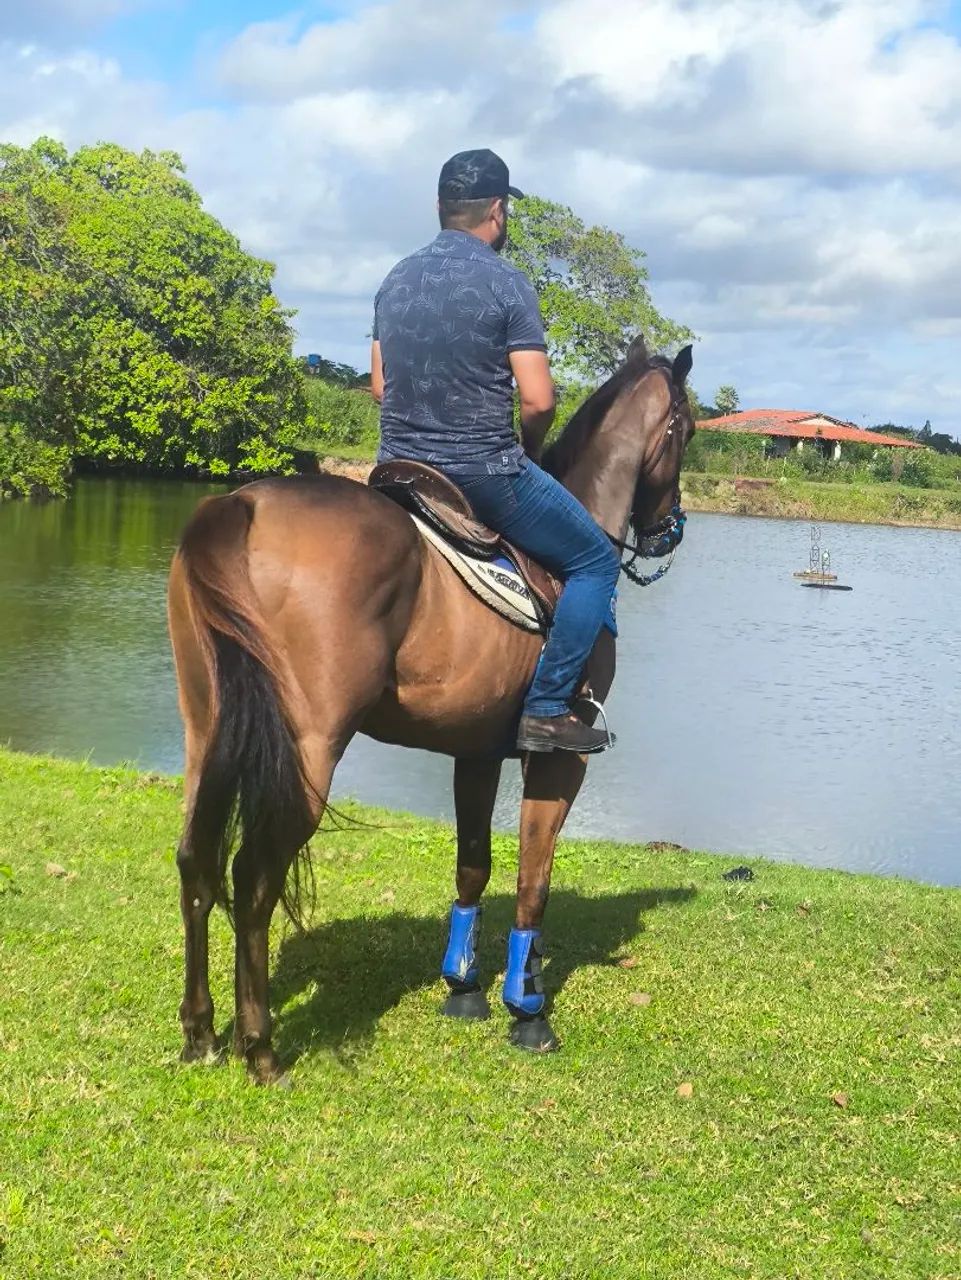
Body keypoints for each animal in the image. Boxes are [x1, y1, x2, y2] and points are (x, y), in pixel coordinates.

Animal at [167, 339, 695, 1082]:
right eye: (687, 431)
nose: (666, 531)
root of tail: (241, 507)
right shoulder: (560, 759)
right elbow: (534, 877)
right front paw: (527, 1009)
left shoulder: (475, 751)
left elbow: (472, 865)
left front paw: (464, 987)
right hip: (306, 751)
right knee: (254, 877)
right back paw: (261, 1047)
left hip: (210, 732)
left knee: (197, 864)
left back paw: (200, 1033)